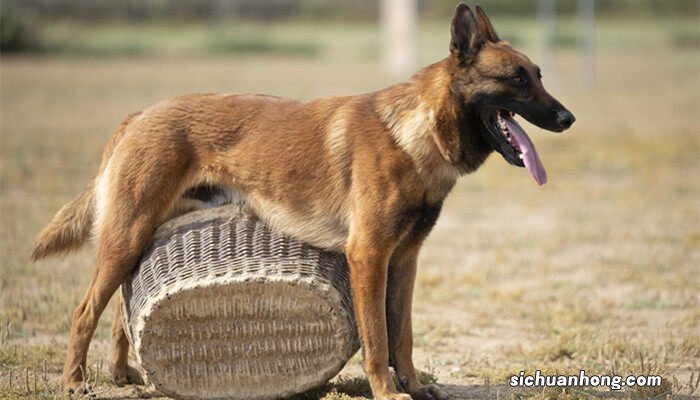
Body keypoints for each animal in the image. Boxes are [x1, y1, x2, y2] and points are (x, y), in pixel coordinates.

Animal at [31, 3, 576, 400]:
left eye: (539, 74)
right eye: (518, 79)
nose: (568, 118)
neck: (416, 133)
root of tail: (141, 113)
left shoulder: (405, 261)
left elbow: (403, 335)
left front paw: (416, 387)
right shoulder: (369, 257)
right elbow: (377, 338)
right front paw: (387, 392)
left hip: (140, 236)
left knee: (120, 310)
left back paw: (123, 374)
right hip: (125, 236)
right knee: (85, 311)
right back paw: (74, 381)